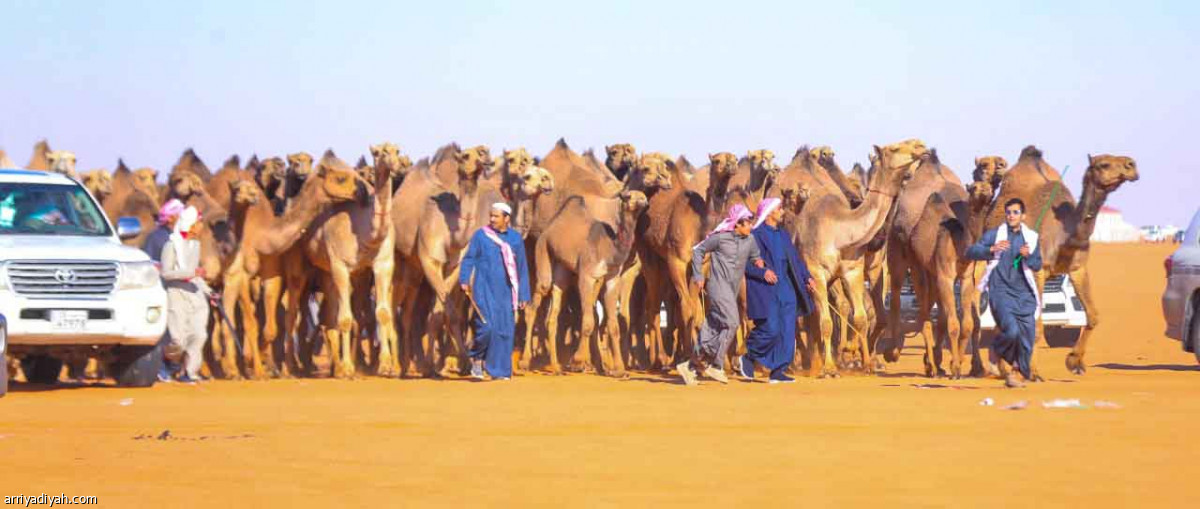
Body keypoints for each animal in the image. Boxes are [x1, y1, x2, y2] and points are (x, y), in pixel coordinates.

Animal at [532, 189, 652, 374]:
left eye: (644, 196)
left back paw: (556, 366)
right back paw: (525, 363)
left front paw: (619, 369)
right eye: (629, 196)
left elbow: (613, 326)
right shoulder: (586, 276)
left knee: (553, 314)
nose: (644, 203)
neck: (609, 249)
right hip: (542, 249)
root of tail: (549, 228)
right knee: (536, 298)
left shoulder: (611, 279)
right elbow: (588, 321)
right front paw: (577, 361)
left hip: (562, 270)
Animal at [979, 145, 1137, 376]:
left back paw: (1001, 368)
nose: (1131, 165)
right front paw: (1033, 372)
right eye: (1103, 164)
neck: (1065, 235)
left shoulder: (1078, 268)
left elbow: (1093, 316)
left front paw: (1074, 362)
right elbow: (1037, 324)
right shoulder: (1039, 269)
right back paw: (998, 368)